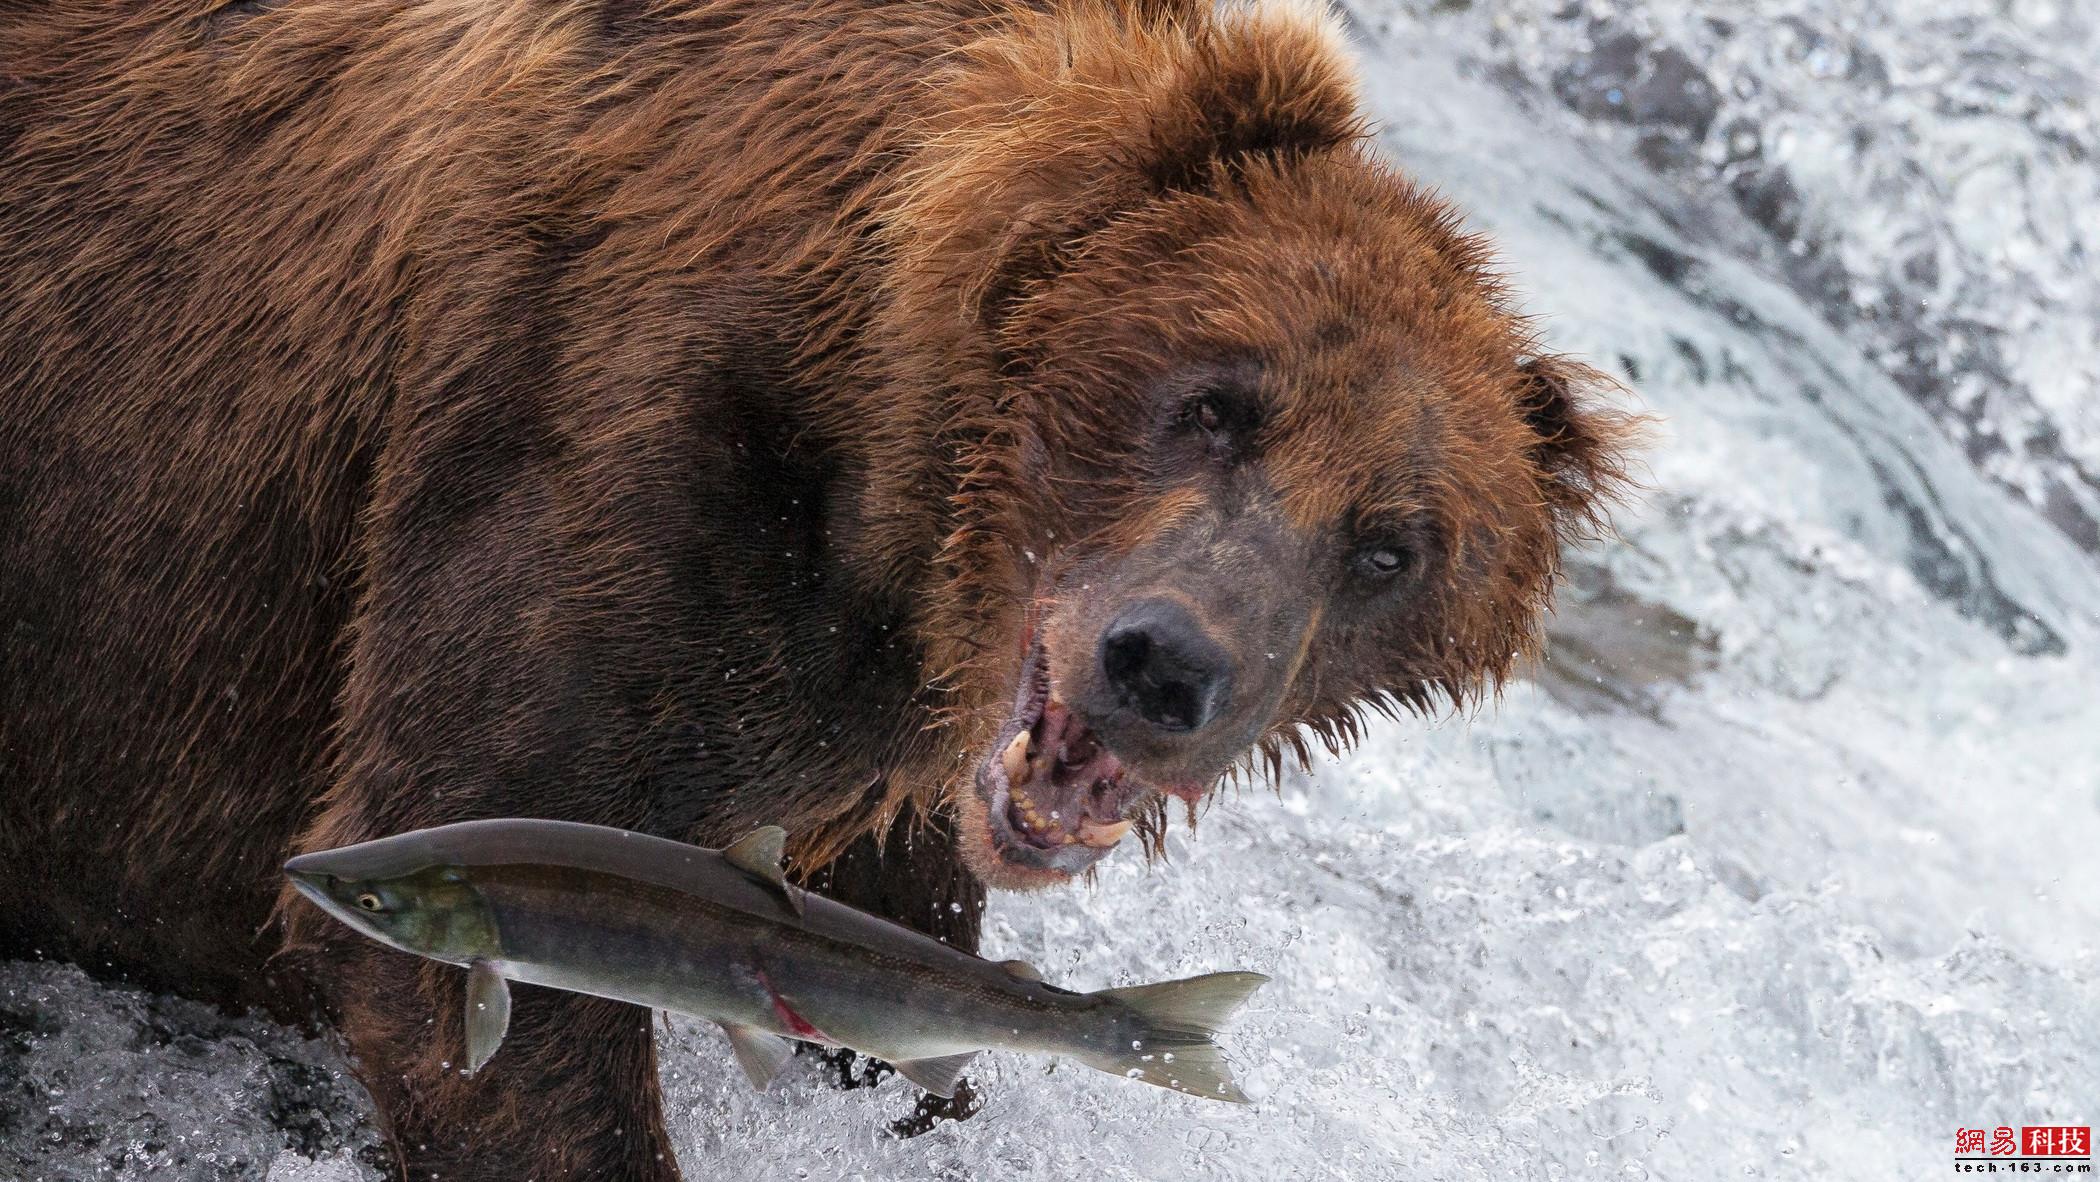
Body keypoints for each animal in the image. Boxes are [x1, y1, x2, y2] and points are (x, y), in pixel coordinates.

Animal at [0, 0, 1629, 1175]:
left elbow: (915, 1007)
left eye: (1391, 544)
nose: (1165, 665)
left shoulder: (873, 776)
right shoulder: (619, 469)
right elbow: (485, 966)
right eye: (1217, 403)